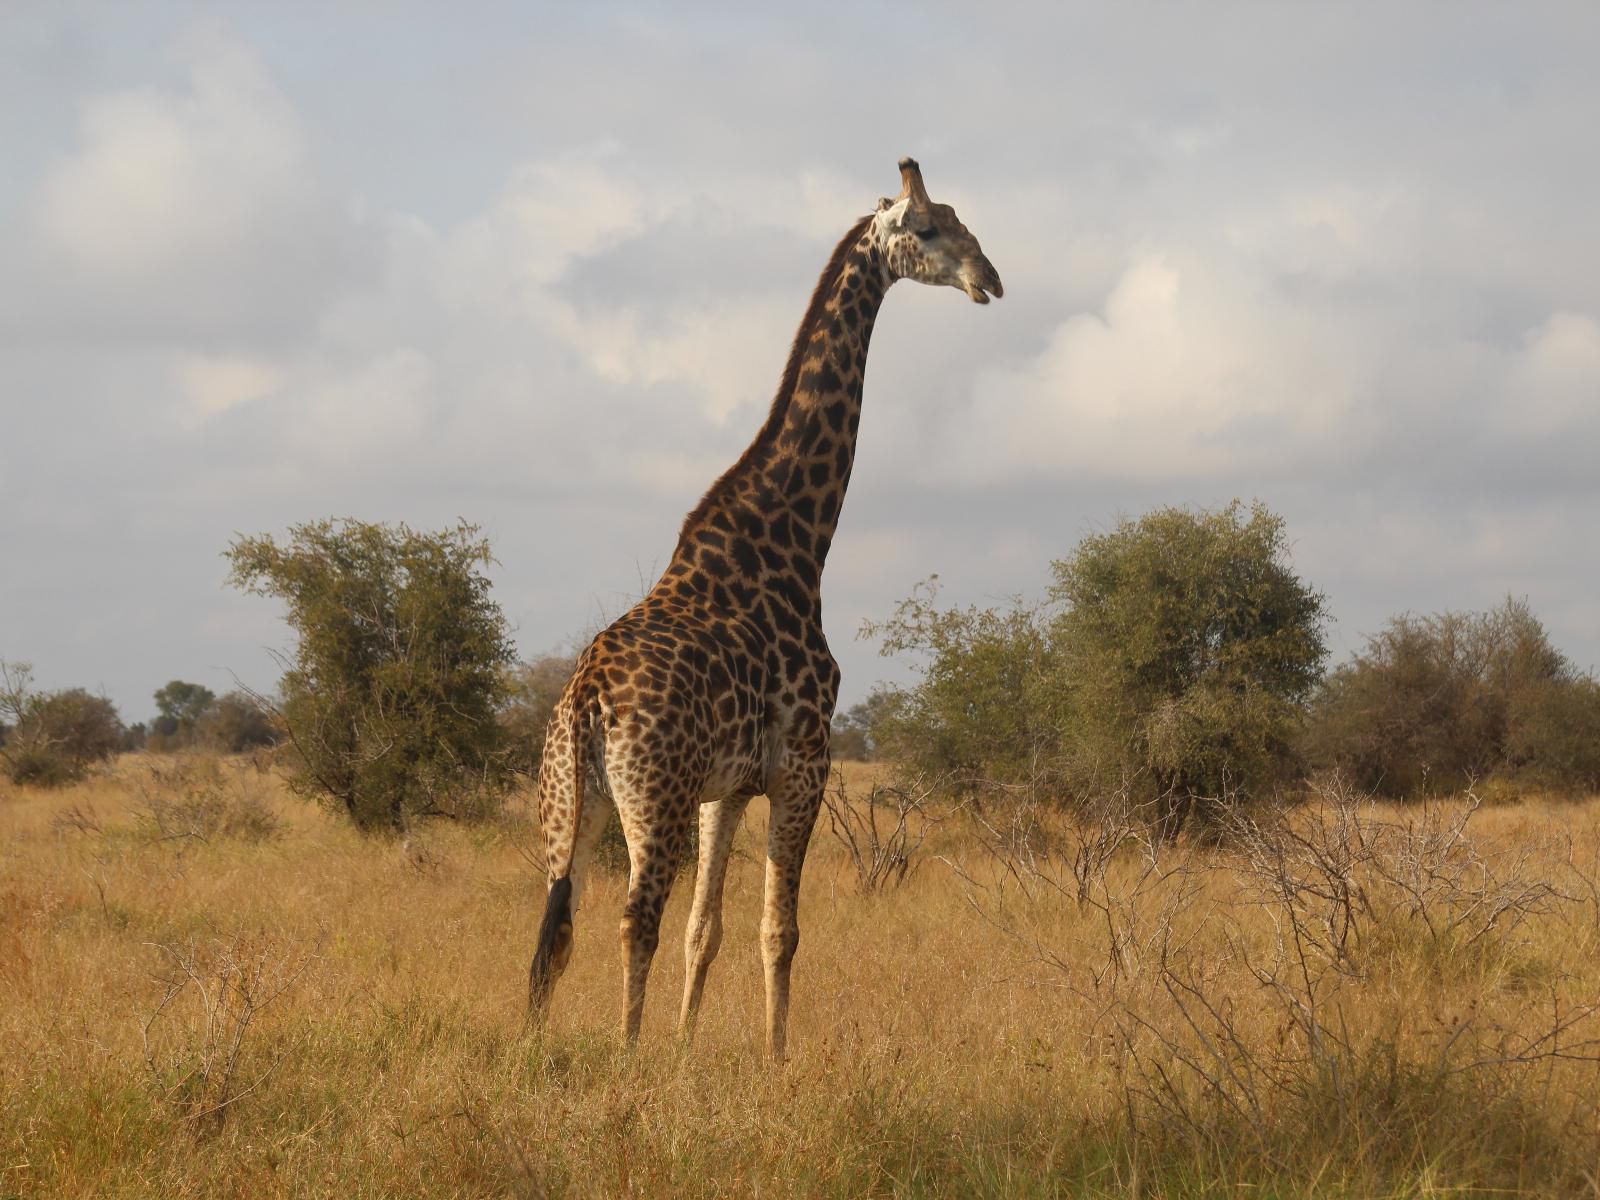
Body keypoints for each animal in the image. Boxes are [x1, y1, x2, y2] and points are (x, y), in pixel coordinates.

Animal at [528, 160, 998, 1062]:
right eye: (928, 230)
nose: (989, 279)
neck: (794, 542)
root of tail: (586, 704)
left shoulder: (729, 787)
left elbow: (706, 930)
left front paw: (687, 1046)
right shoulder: (804, 764)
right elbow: (780, 931)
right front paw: (777, 1060)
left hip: (566, 803)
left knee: (555, 927)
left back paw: (541, 1044)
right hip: (654, 799)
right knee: (634, 918)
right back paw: (626, 1054)